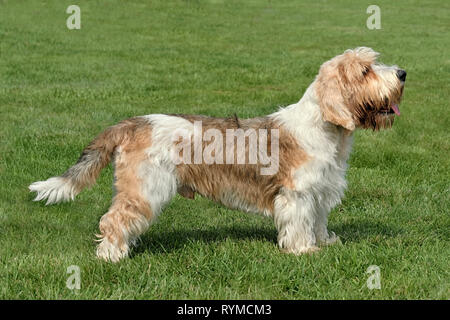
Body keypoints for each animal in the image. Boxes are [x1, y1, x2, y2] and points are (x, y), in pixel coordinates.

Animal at [29, 48, 406, 262]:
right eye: (365, 71)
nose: (403, 73)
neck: (324, 128)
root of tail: (134, 122)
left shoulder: (320, 192)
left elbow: (318, 222)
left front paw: (325, 243)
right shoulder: (297, 194)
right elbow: (300, 224)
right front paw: (304, 251)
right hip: (146, 188)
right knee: (113, 220)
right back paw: (111, 257)